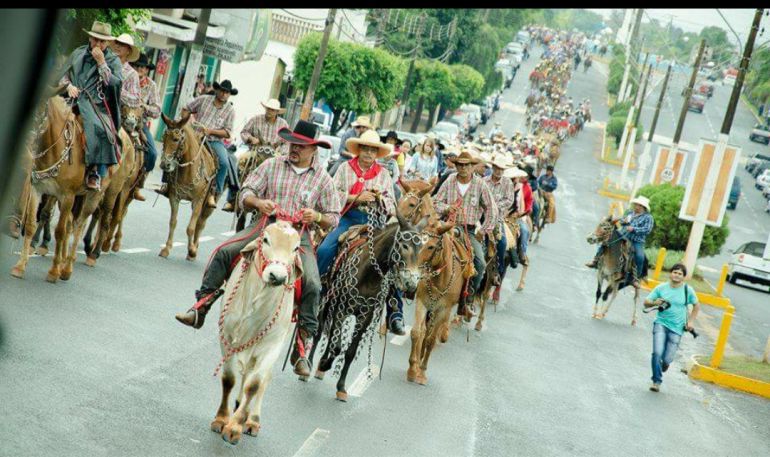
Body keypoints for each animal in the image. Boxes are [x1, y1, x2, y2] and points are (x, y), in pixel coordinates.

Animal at [11, 96, 127, 282]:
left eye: (42, 109)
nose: (26, 138)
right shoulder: (38, 190)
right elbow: (30, 225)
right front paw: (20, 266)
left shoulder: (67, 196)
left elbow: (60, 231)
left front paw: (53, 271)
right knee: (72, 223)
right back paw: (64, 261)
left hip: (96, 196)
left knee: (80, 225)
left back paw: (68, 267)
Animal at [156, 112, 216, 260]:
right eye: (163, 138)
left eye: (176, 139)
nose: (164, 164)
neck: (189, 170)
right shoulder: (174, 197)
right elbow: (173, 222)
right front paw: (166, 249)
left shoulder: (198, 201)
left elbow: (191, 228)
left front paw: (192, 250)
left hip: (207, 206)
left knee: (200, 223)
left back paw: (194, 250)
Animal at [212, 219, 304, 444]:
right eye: (266, 239)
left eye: (296, 248)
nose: (277, 276)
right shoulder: (226, 336)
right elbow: (229, 379)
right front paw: (222, 419)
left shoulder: (272, 345)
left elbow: (254, 384)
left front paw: (235, 427)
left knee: (262, 379)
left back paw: (251, 420)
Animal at [308, 210, 424, 400]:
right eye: (404, 246)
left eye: (421, 248)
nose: (411, 283)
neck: (369, 274)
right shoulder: (341, 308)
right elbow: (337, 345)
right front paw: (324, 363)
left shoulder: (365, 316)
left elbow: (350, 351)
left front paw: (341, 387)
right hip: (327, 299)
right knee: (319, 331)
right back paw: (310, 364)